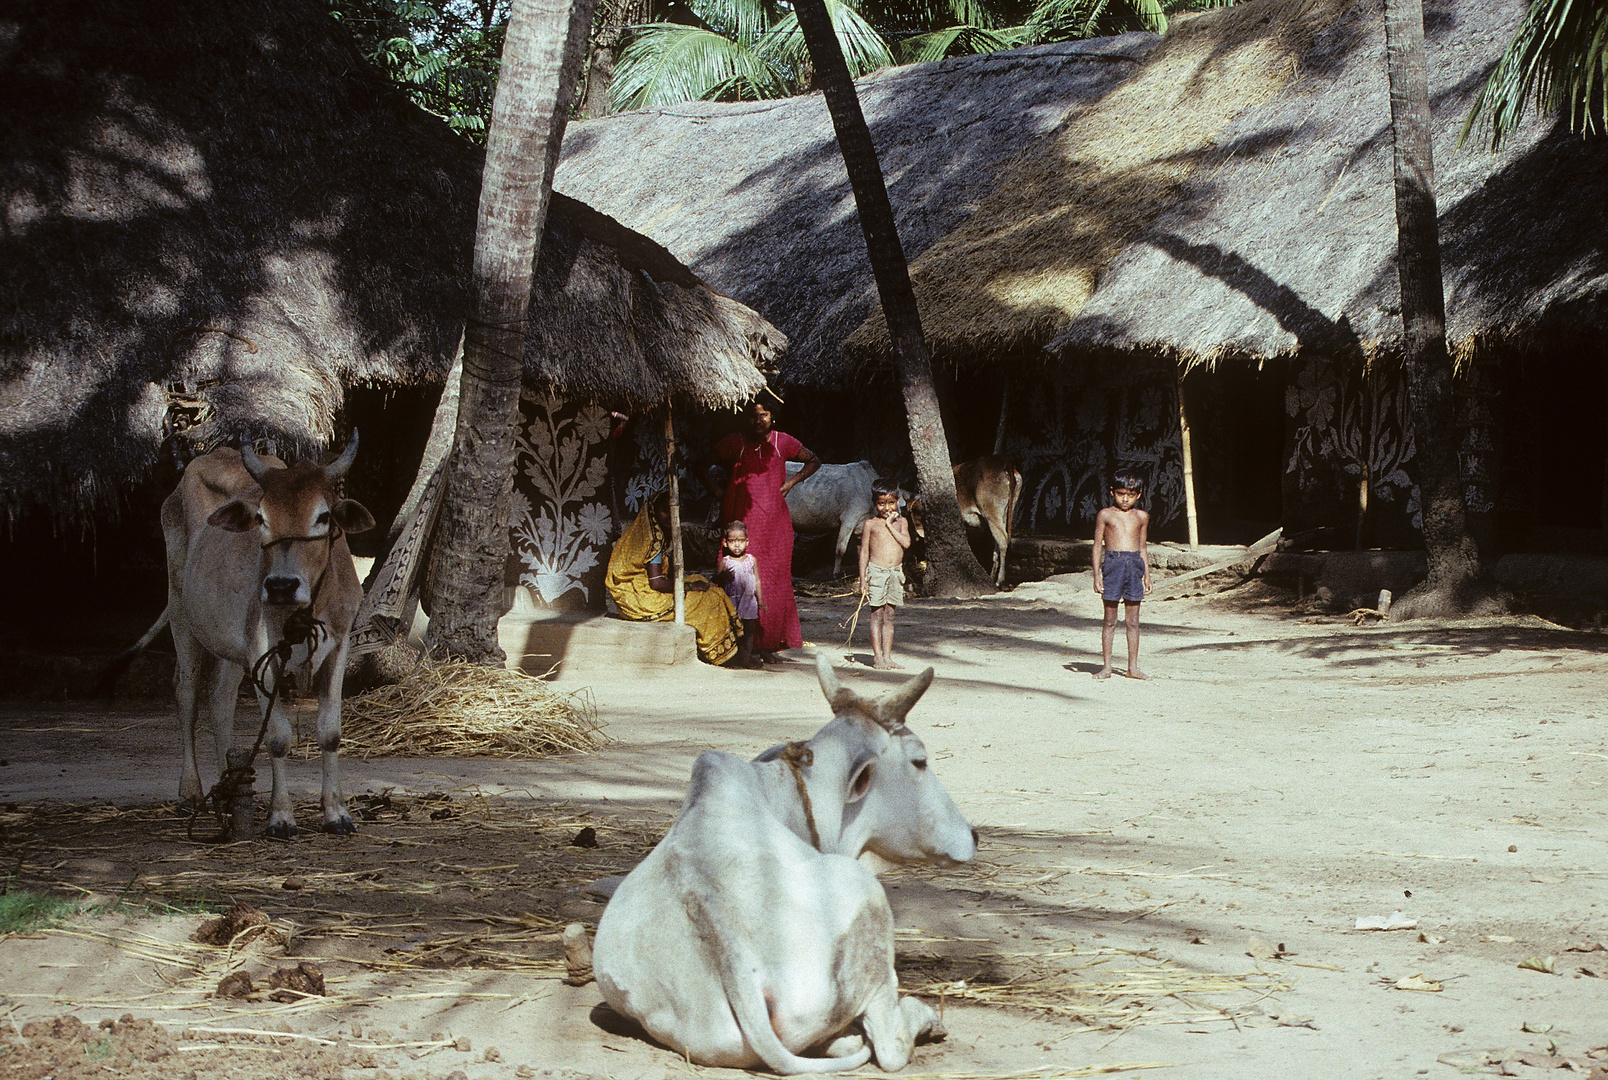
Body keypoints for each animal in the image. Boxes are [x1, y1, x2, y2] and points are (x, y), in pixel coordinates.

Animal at [119, 433, 373, 842]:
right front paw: (280, 818)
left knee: (220, 698)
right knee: (187, 693)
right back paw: (191, 790)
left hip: (226, 643)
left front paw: (336, 814)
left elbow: (330, 732)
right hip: (181, 611)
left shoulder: (338, 647)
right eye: (261, 518)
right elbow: (277, 737)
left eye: (323, 516)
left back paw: (232, 789)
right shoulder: (262, 653)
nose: (281, 585)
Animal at [588, 649, 971, 1073]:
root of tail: (737, 961)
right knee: (888, 1045)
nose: (972, 835)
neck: (782, 795)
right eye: (919, 760)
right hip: (870, 907)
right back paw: (925, 1020)